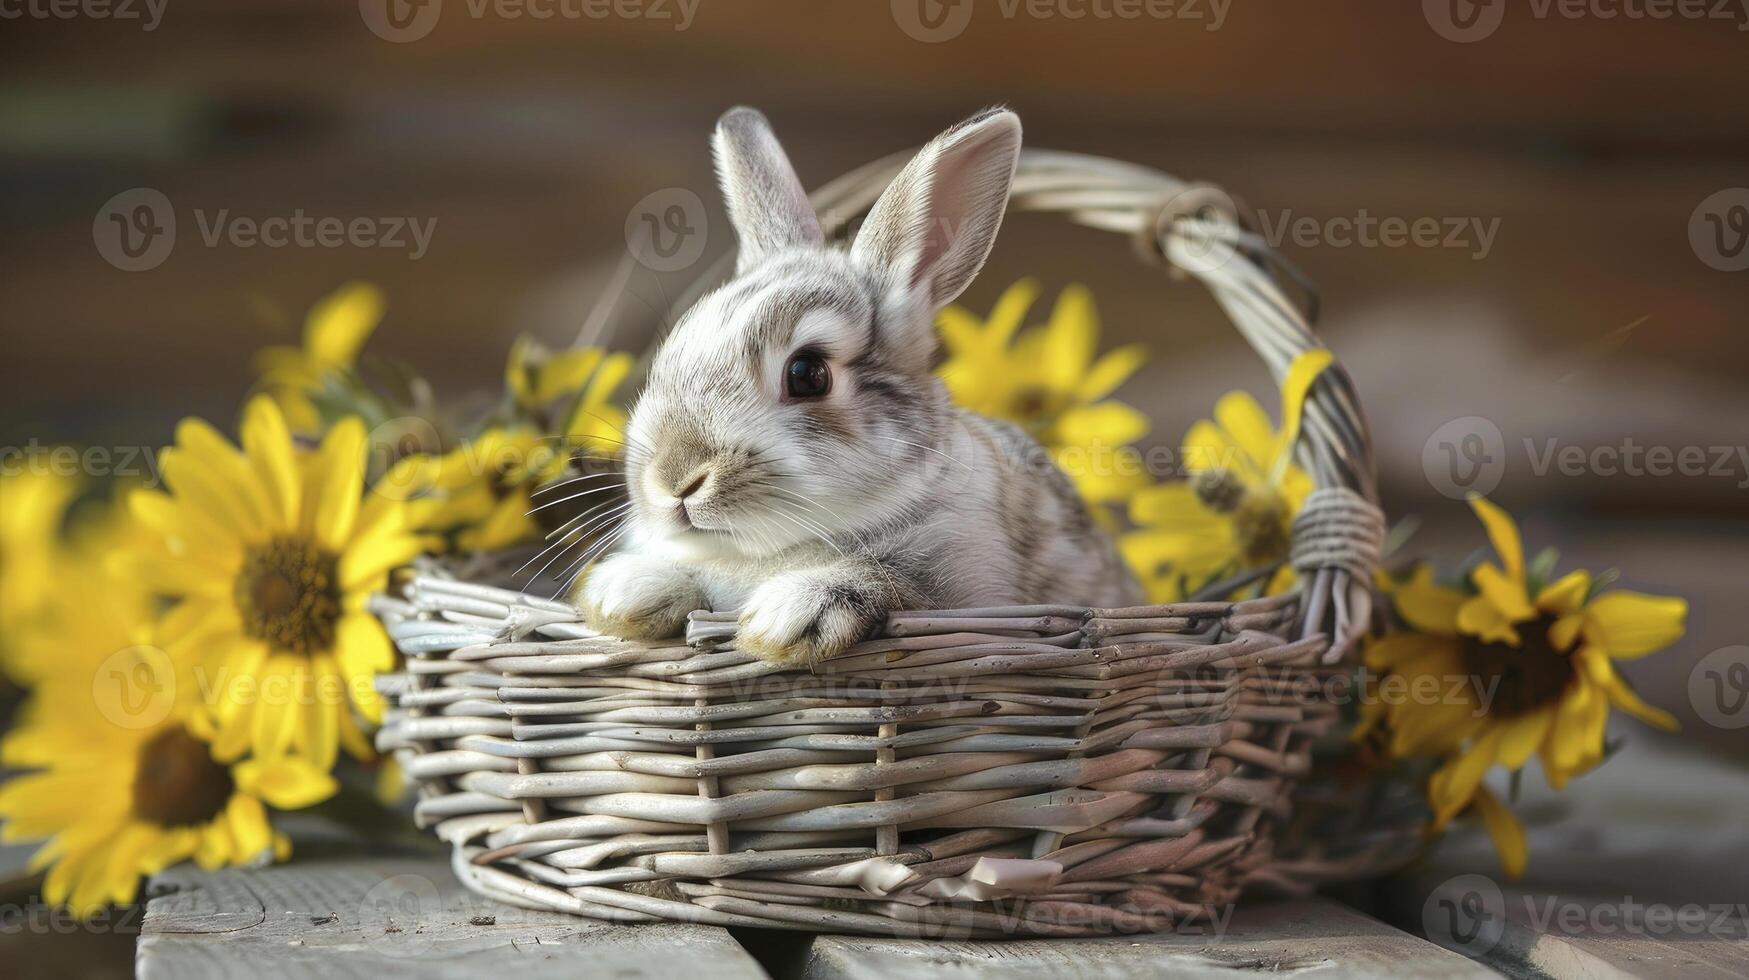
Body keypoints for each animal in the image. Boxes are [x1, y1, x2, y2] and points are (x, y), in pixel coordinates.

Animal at [577, 107, 1147, 665]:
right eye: (673, 345)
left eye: (808, 374)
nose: (673, 480)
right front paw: (622, 594)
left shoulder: (971, 586)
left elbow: (896, 584)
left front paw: (782, 620)